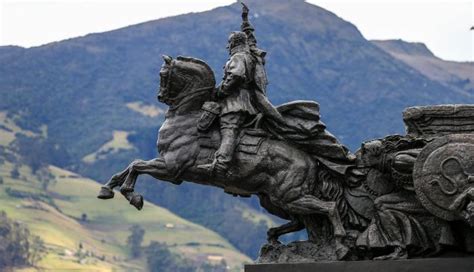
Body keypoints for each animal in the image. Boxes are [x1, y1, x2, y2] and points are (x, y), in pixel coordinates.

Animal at [98, 54, 350, 258]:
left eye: (162, 74)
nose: (160, 96)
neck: (187, 117)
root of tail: (311, 160)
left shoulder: (171, 168)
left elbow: (137, 165)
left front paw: (132, 196)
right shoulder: (167, 166)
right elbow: (130, 166)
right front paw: (107, 189)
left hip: (289, 196)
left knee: (328, 208)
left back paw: (340, 244)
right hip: (273, 199)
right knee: (300, 221)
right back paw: (273, 238)